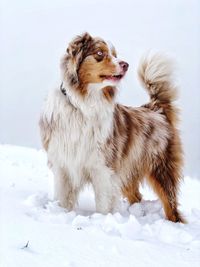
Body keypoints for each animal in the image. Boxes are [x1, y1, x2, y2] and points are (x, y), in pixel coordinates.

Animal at [39, 32, 185, 223]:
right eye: (100, 53)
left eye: (115, 54)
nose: (126, 64)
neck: (83, 105)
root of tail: (156, 109)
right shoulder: (63, 164)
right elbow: (63, 198)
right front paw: (61, 214)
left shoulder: (102, 167)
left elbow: (103, 203)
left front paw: (103, 220)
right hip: (127, 169)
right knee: (137, 196)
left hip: (161, 169)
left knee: (171, 206)